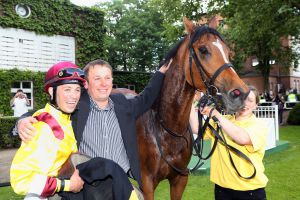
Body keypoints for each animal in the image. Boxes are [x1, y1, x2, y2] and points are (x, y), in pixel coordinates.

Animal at [131, 17, 248, 200]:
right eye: (203, 49)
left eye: (228, 52)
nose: (240, 93)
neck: (167, 128)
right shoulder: (146, 184)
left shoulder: (180, 179)